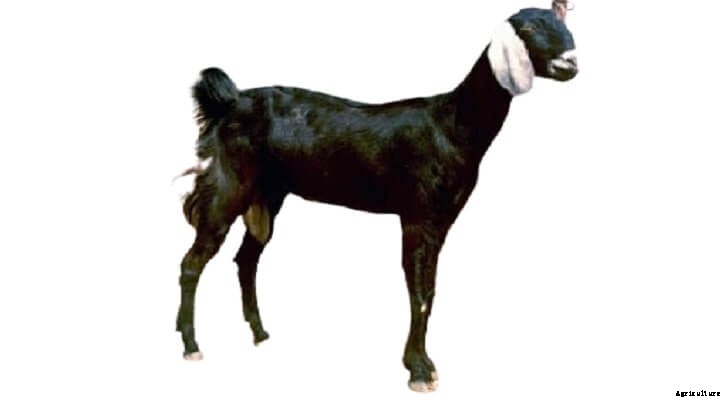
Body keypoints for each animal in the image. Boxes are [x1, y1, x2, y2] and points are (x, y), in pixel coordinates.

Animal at [176, 4, 577, 392]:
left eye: (564, 25)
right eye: (529, 28)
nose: (569, 64)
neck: (452, 126)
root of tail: (229, 103)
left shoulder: (442, 220)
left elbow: (430, 289)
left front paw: (423, 364)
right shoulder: (417, 215)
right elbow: (419, 291)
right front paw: (419, 370)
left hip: (268, 195)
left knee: (246, 259)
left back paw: (260, 334)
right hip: (228, 186)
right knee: (193, 262)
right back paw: (192, 346)